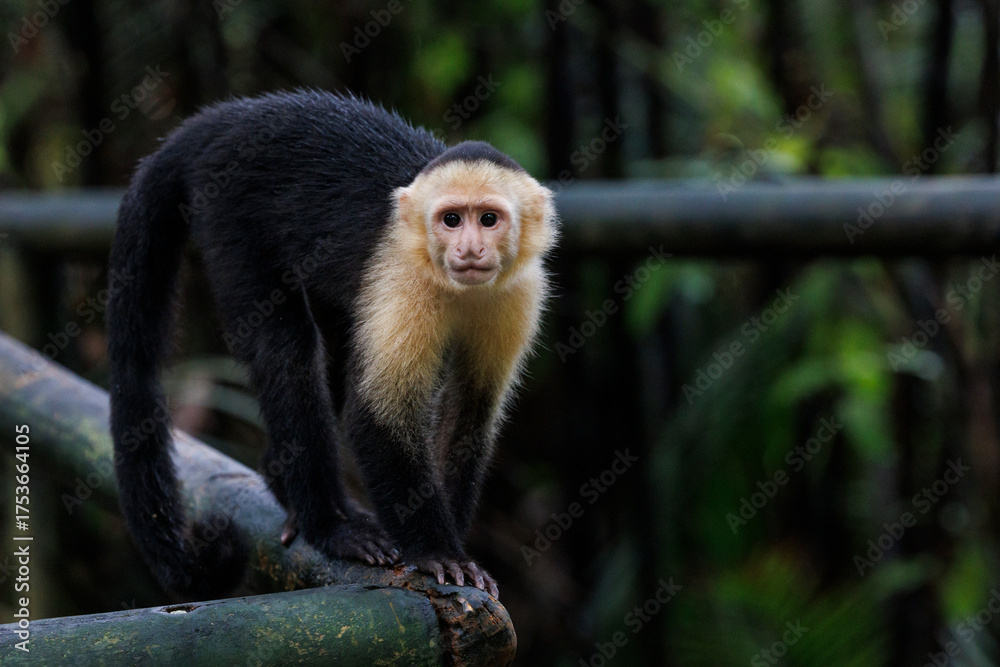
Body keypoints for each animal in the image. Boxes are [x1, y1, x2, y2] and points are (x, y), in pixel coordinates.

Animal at [105, 90, 558, 600]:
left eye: (488, 219)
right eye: (451, 220)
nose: (469, 250)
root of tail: (229, 117)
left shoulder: (521, 293)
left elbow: (469, 412)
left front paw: (456, 544)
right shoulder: (403, 276)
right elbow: (376, 414)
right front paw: (435, 550)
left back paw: (282, 480)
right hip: (228, 209)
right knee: (286, 344)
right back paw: (328, 525)